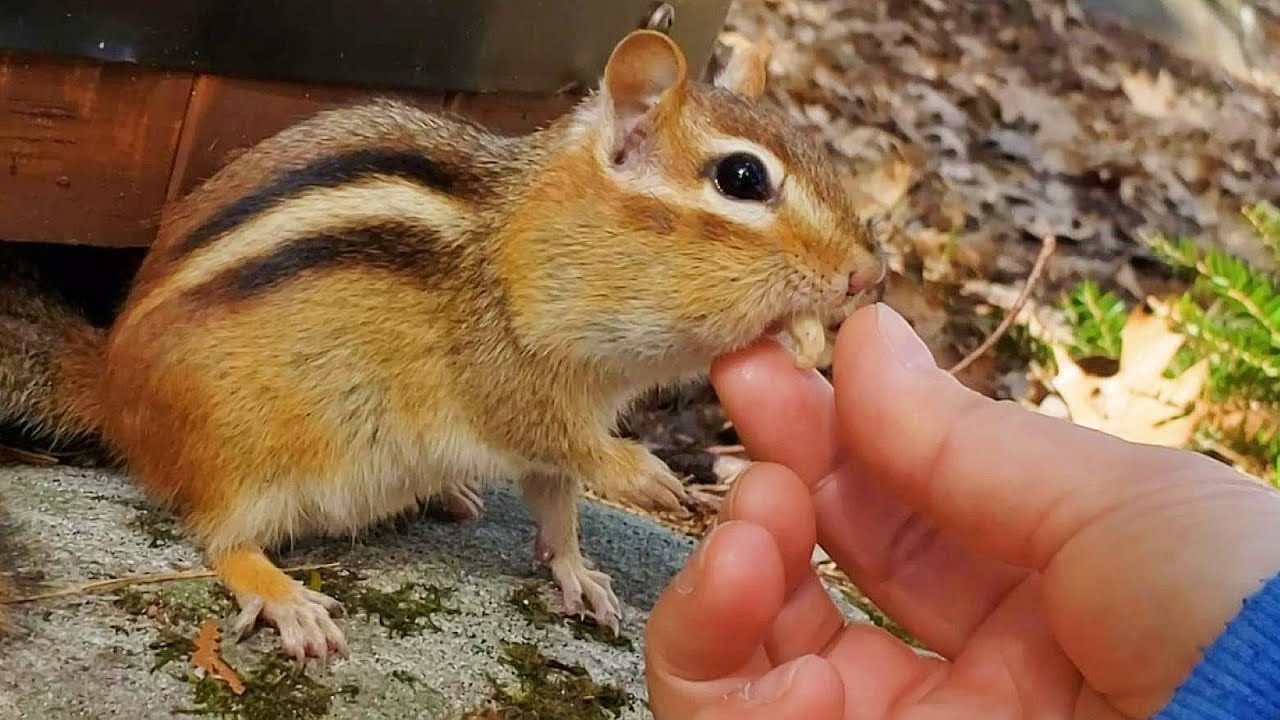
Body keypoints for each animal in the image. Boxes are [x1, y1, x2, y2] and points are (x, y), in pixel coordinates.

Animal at [0, 29, 884, 660]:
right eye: (742, 178)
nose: (869, 276)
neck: (525, 242)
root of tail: (112, 384)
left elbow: (557, 499)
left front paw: (577, 571)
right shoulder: (507, 371)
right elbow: (562, 444)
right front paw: (649, 475)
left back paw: (444, 493)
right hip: (243, 453)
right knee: (218, 537)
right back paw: (284, 595)